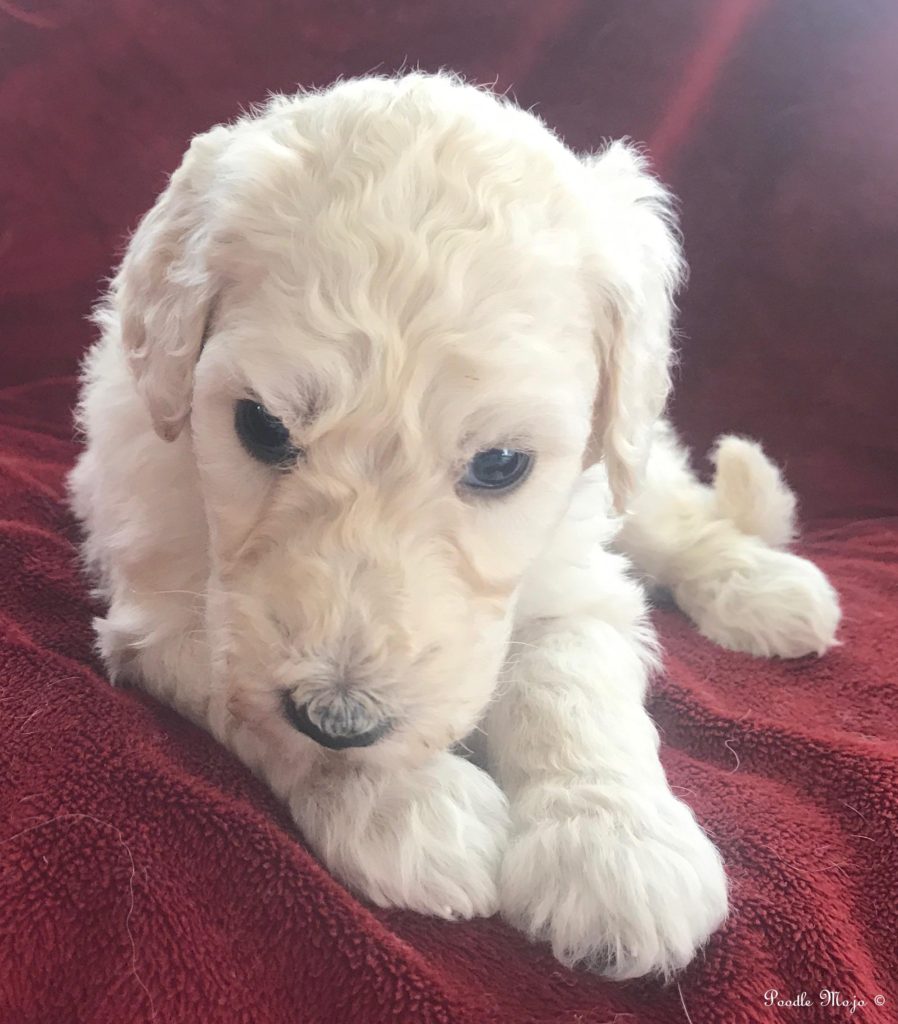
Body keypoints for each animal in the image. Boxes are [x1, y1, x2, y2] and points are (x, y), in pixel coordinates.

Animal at [70, 74, 839, 983]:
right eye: (260, 426)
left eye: (501, 463)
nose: (340, 716)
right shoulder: (152, 611)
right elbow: (242, 698)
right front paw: (408, 806)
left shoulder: (571, 575)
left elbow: (571, 684)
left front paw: (613, 850)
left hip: (630, 456)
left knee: (671, 513)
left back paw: (767, 591)